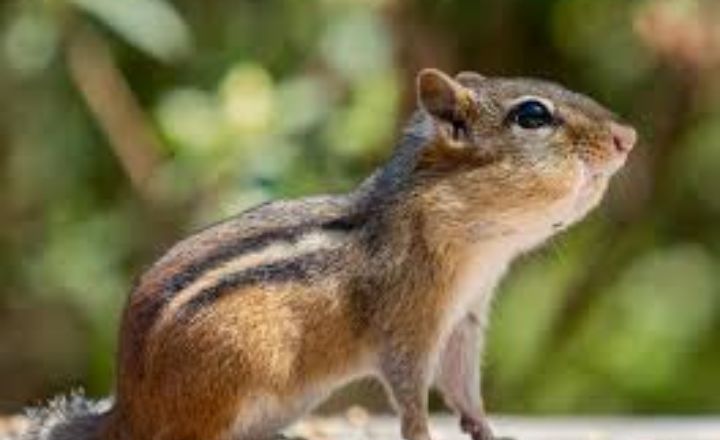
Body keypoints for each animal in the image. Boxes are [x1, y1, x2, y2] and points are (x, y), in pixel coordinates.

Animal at [18, 68, 636, 440]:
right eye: (532, 116)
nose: (627, 137)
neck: (479, 246)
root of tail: (129, 410)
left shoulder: (464, 321)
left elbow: (464, 388)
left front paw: (486, 429)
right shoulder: (408, 325)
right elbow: (411, 392)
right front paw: (423, 432)